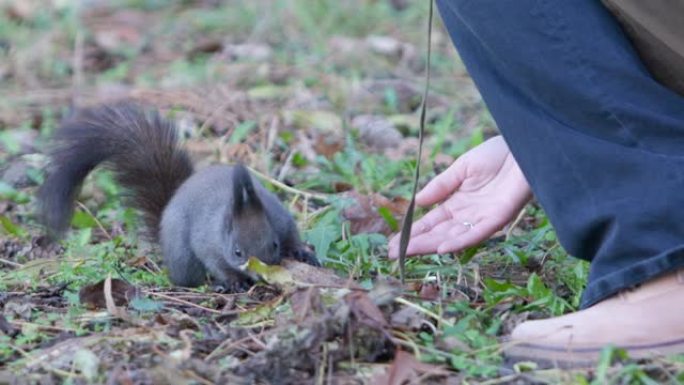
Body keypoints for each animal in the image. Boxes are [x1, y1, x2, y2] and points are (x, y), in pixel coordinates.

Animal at [40, 103, 320, 290]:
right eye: (237, 252)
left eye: (273, 245)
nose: (261, 271)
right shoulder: (208, 243)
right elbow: (217, 263)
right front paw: (233, 281)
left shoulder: (279, 217)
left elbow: (292, 235)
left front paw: (303, 252)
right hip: (183, 257)